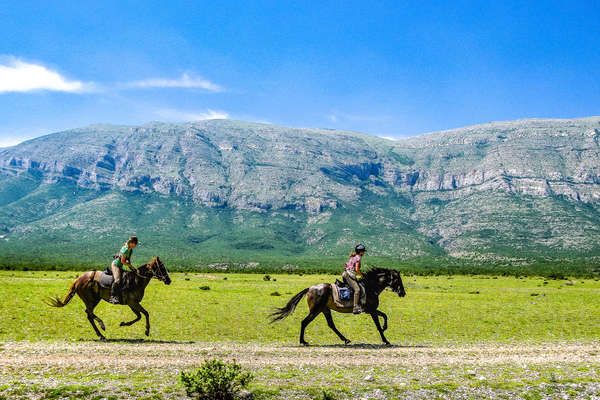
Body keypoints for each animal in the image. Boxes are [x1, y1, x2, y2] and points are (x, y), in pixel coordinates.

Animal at [270, 268, 406, 346]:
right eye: (397, 279)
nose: (403, 293)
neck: (370, 287)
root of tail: (310, 288)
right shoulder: (371, 310)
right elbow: (378, 324)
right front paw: (386, 340)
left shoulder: (370, 310)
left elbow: (385, 315)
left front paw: (385, 327)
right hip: (316, 310)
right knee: (304, 322)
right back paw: (303, 341)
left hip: (325, 309)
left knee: (331, 325)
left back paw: (345, 339)